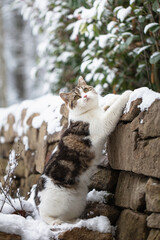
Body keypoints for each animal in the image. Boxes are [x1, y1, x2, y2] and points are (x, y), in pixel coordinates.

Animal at [34, 77, 132, 225]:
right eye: (76, 97)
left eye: (85, 89)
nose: (85, 96)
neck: (90, 111)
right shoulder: (103, 125)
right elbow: (113, 110)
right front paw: (126, 93)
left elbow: (107, 107)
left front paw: (112, 97)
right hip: (55, 200)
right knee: (45, 215)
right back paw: (56, 222)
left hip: (77, 201)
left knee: (68, 215)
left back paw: (76, 221)